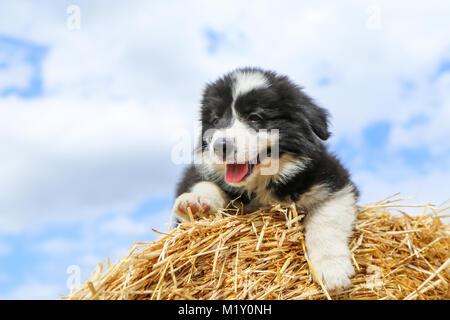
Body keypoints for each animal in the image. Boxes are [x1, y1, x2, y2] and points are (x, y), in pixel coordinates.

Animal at [172, 67, 358, 290]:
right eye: (216, 120)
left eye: (254, 117)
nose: (220, 146)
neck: (261, 182)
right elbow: (205, 184)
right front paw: (196, 203)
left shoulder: (334, 182)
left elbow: (326, 220)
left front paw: (331, 270)